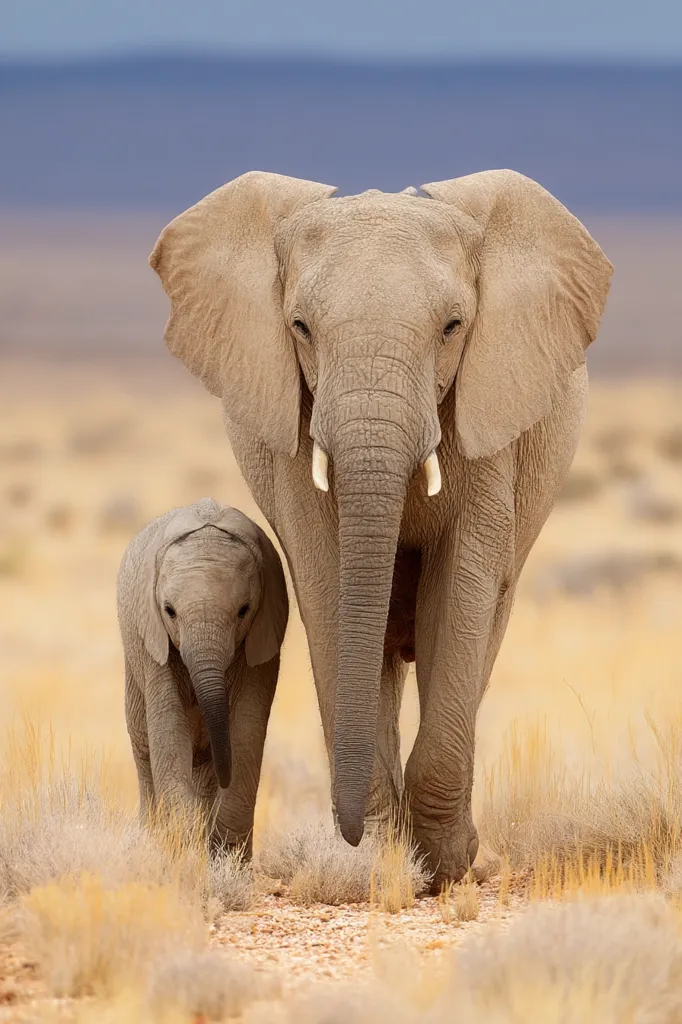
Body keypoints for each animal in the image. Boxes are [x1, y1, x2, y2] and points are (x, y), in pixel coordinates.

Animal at [117, 497, 288, 852]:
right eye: (169, 611)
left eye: (244, 610)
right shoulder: (154, 644)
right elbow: (168, 727)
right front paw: (183, 847)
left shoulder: (265, 637)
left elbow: (248, 727)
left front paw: (225, 854)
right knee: (144, 749)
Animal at [149, 170, 612, 888]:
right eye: (300, 328)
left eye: (453, 327)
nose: (348, 833)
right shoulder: (295, 426)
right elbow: (328, 583)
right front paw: (380, 857)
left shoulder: (488, 420)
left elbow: (462, 588)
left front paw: (446, 865)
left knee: (484, 623)